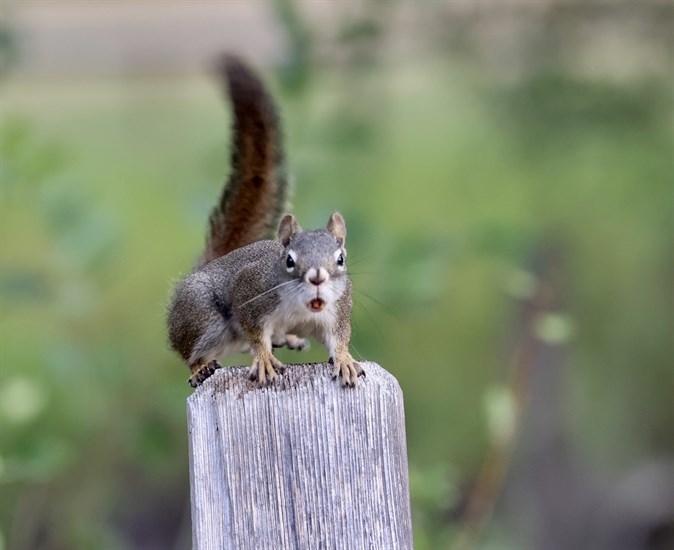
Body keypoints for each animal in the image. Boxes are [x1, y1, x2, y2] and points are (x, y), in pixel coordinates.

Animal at [166, 56, 364, 390]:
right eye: (289, 260)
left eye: (340, 259)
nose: (317, 277)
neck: (302, 306)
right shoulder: (251, 296)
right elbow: (256, 335)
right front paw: (265, 360)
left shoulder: (337, 311)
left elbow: (339, 339)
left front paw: (345, 360)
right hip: (202, 315)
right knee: (191, 352)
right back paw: (200, 369)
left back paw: (291, 339)